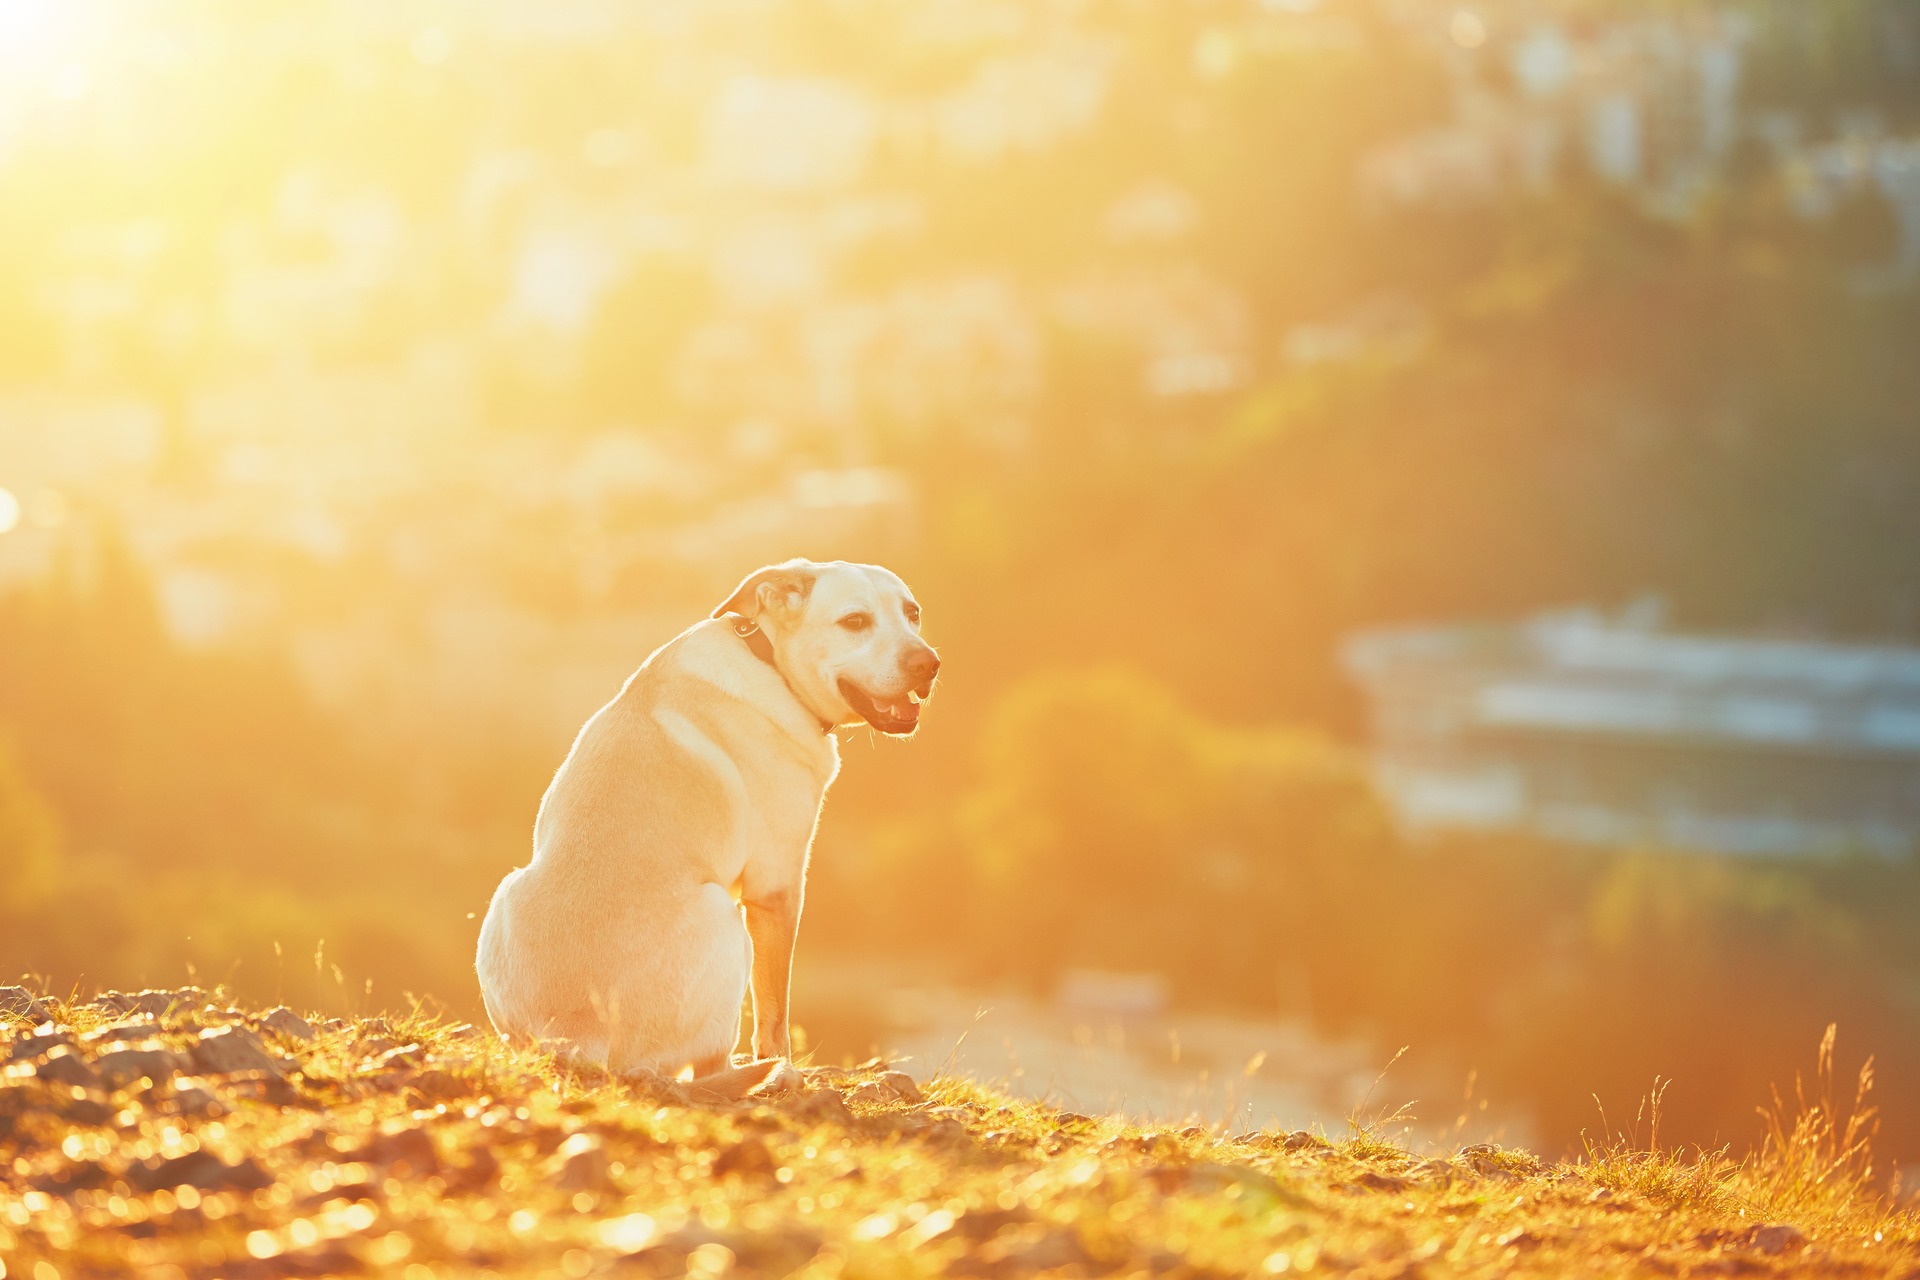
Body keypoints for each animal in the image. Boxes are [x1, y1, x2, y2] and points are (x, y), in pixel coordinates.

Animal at [472, 556, 936, 1090]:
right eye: (855, 621)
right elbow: (775, 1010)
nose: (929, 664)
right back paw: (757, 1075)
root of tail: (576, 1040)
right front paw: (787, 1070)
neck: (770, 662)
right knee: (710, 1063)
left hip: (506, 890)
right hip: (724, 917)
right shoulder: (776, 889)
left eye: (912, 613)